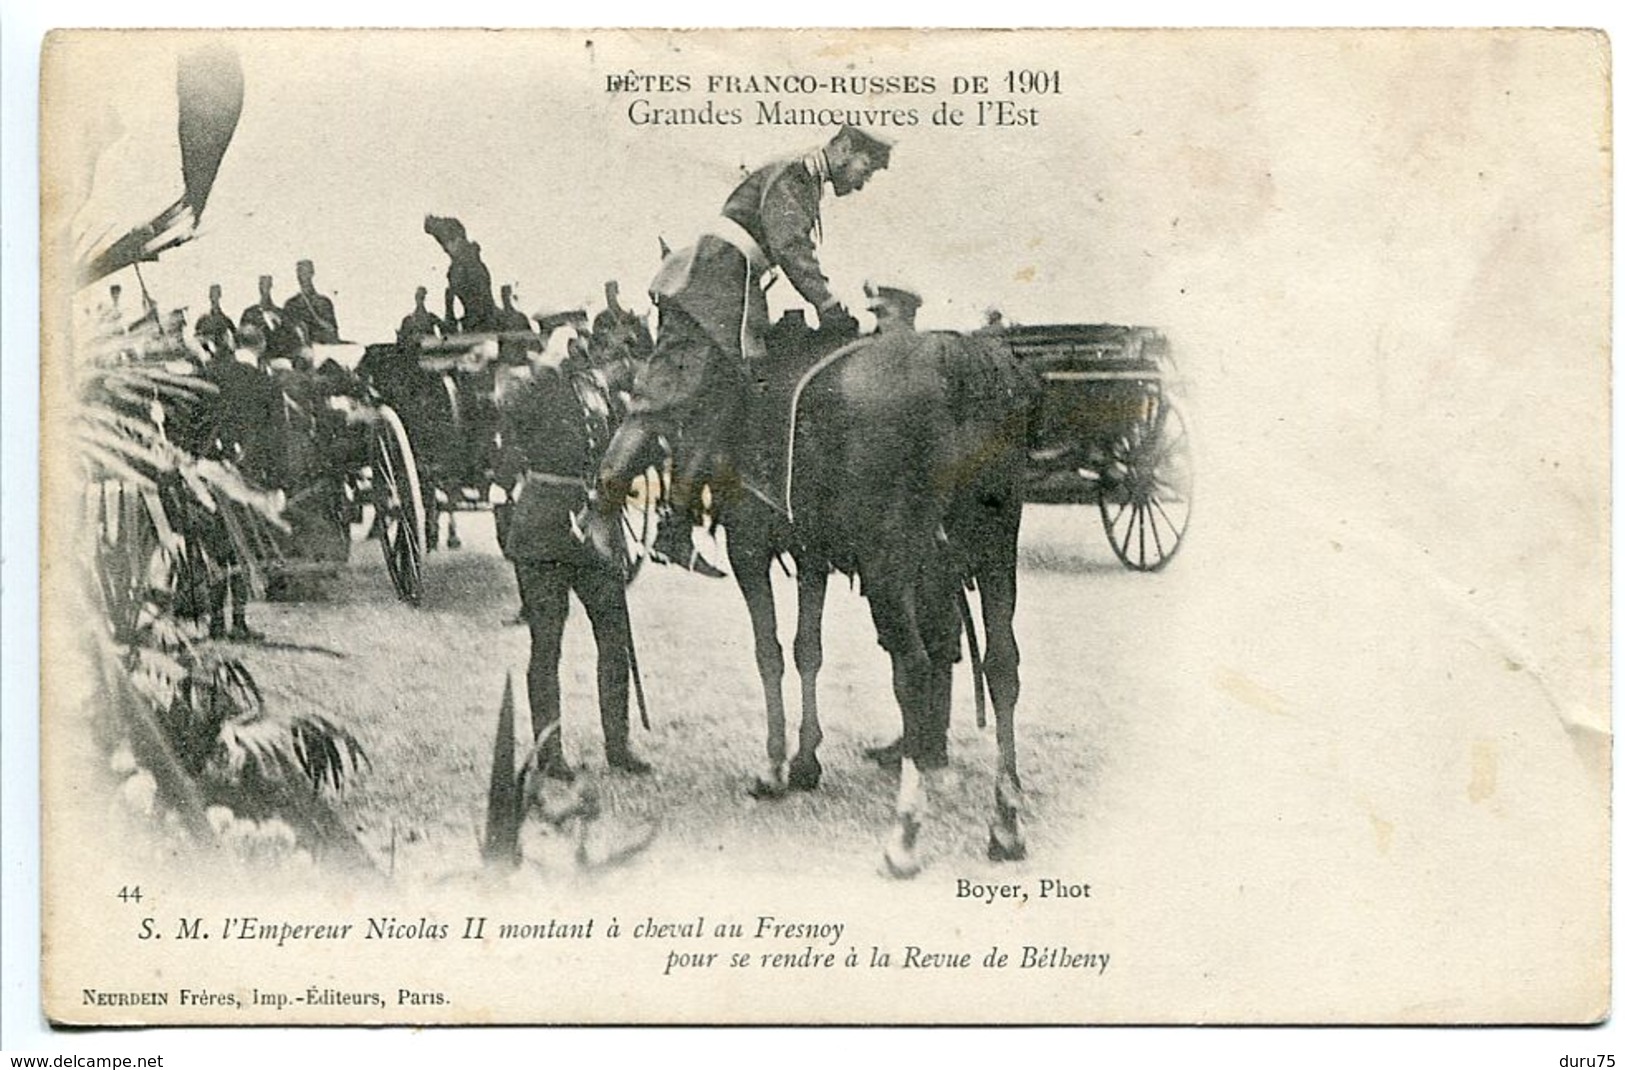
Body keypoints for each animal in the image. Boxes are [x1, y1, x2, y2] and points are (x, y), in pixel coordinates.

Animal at [724, 325, 1040, 878]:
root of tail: (955, 358)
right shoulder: (812, 552)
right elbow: (808, 649)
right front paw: (805, 761)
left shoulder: (746, 544)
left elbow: (770, 653)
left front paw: (775, 767)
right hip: (997, 549)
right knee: (1002, 667)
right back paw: (1004, 823)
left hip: (889, 565)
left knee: (913, 669)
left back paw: (905, 834)